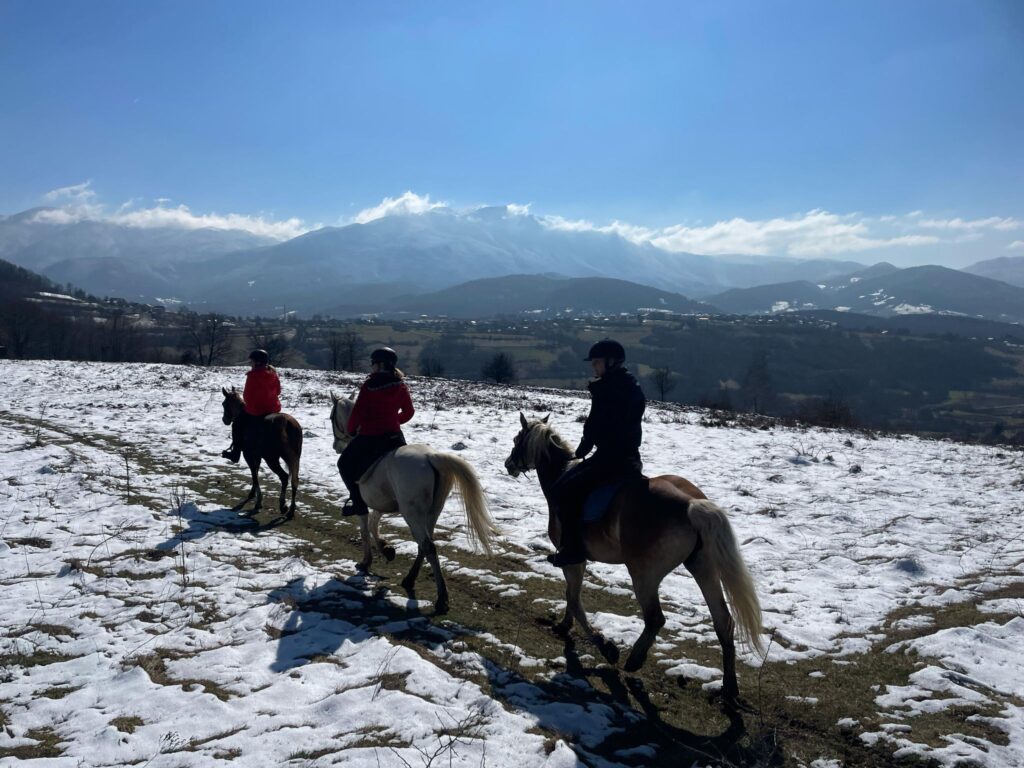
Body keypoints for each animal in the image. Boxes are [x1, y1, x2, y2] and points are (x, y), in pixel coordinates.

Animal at [220, 387, 302, 518]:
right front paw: (253, 493)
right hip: (295, 458)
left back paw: (282, 505)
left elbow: (254, 473)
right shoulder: (257, 455)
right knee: (295, 481)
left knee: (284, 477)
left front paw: (258, 500)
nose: (225, 420)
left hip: (271, 459)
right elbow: (256, 471)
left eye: (224, 404)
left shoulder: (248, 454)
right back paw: (291, 510)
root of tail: (287, 424)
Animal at [330, 392, 498, 614]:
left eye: (331, 417)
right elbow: (374, 525)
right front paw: (387, 549)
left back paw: (441, 598)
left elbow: (365, 529)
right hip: (431, 512)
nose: (336, 447)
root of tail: (432, 457)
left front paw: (366, 562)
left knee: (427, 545)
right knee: (425, 544)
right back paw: (410, 579)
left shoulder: (362, 503)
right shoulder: (381, 504)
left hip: (412, 514)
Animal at [504, 413, 763, 701]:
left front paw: (605, 645)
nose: (508, 465)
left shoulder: (573, 559)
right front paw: (564, 626)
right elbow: (571, 597)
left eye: (517, 439)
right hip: (703, 567)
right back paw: (728, 687)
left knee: (655, 618)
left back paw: (634, 659)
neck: (561, 476)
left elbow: (573, 598)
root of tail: (690, 504)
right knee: (723, 621)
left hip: (644, 574)